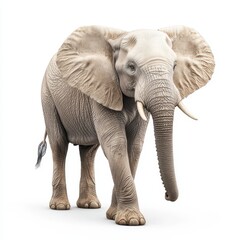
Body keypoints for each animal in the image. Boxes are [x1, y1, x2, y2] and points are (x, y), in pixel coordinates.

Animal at [36, 25, 215, 226]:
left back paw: (89, 205)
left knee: (88, 152)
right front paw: (132, 221)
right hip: (48, 96)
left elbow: (134, 147)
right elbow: (116, 144)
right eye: (131, 67)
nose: (167, 195)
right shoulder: (104, 88)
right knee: (59, 145)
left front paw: (114, 215)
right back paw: (59, 206)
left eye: (175, 66)